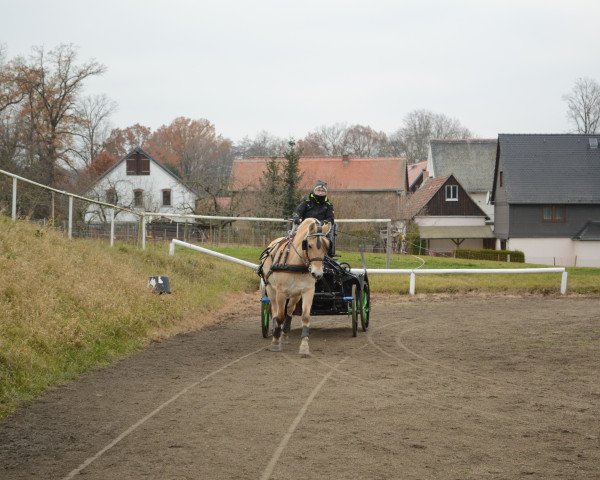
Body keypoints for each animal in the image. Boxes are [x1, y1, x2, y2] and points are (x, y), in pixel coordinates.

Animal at [258, 218, 332, 356]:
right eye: (308, 245)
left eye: (326, 246)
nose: (318, 274)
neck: (296, 264)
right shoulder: (280, 293)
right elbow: (280, 317)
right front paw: (275, 342)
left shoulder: (308, 291)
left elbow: (305, 317)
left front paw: (304, 346)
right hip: (271, 290)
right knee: (275, 311)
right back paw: (276, 332)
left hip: (295, 295)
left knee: (290, 310)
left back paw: (285, 334)